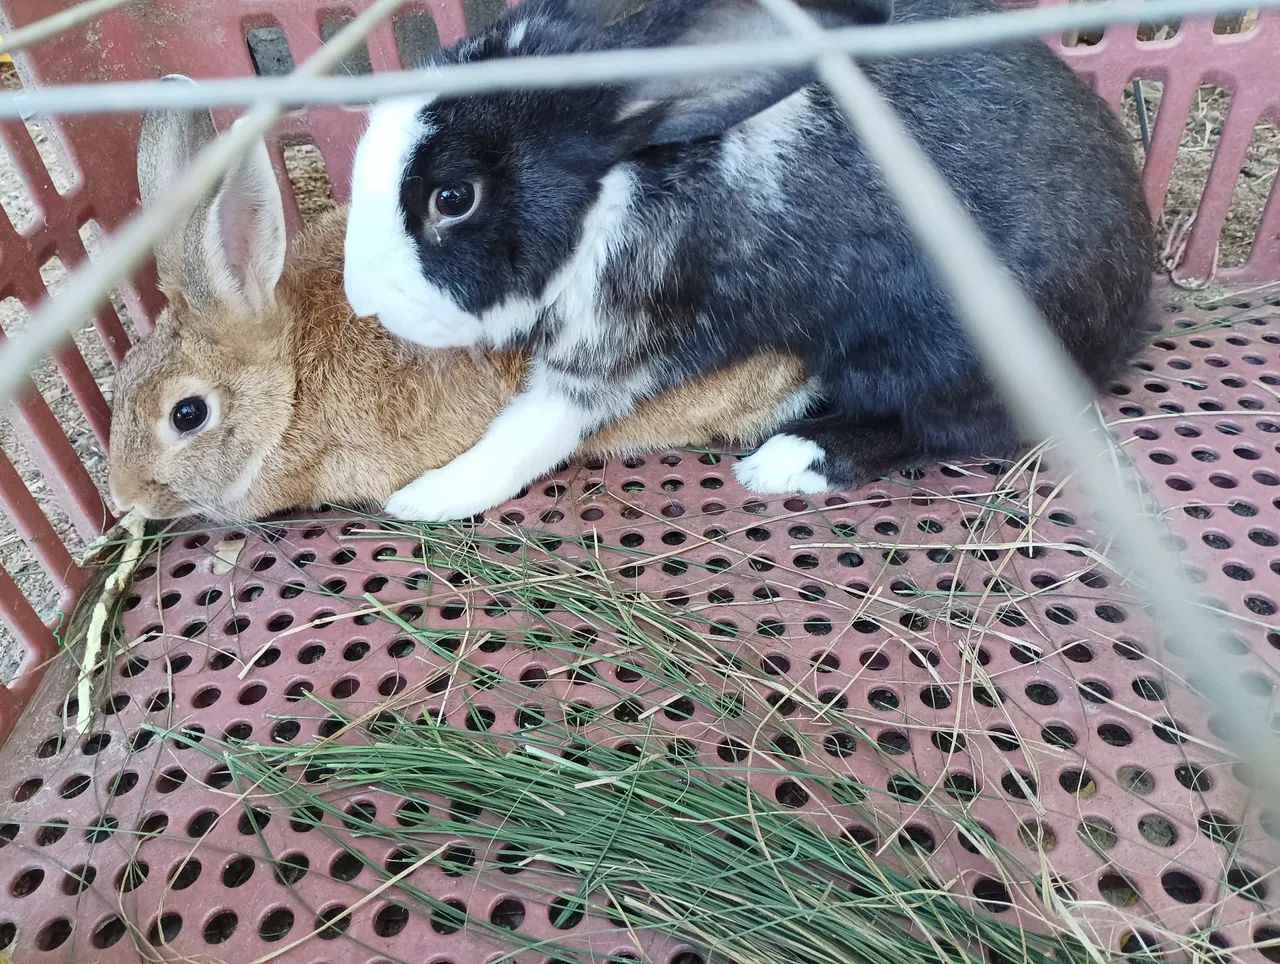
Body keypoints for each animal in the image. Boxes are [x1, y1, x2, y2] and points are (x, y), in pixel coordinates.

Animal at [343, 0, 1155, 522]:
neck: (623, 178)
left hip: (932, 360)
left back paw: (787, 460)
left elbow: (535, 427)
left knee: (946, 431)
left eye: (453, 197)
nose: (362, 302)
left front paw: (427, 498)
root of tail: (1132, 320)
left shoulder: (627, 336)